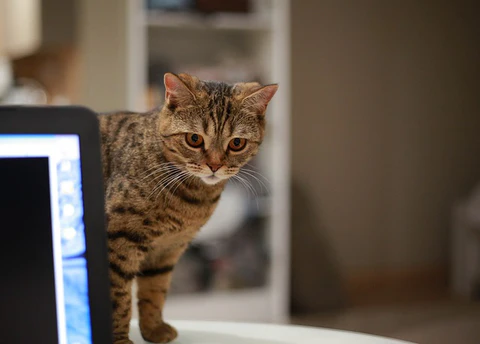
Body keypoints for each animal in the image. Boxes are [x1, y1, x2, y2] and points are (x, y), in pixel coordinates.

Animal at [98, 73, 278, 344]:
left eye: (237, 143)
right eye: (194, 139)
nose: (214, 165)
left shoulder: (167, 250)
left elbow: (155, 292)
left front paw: (154, 329)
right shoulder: (116, 241)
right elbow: (118, 298)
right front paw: (119, 340)